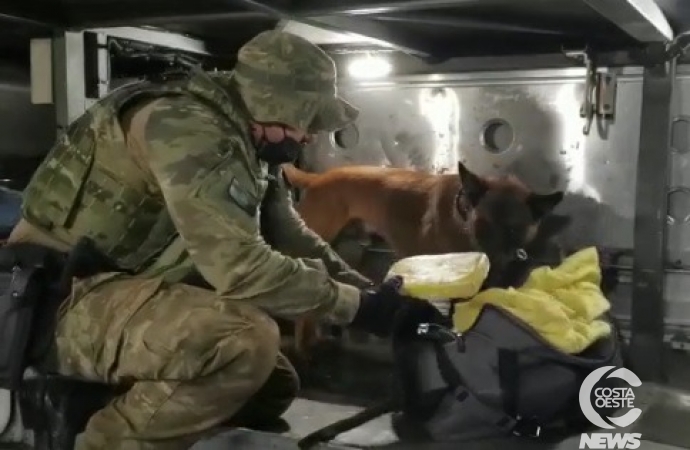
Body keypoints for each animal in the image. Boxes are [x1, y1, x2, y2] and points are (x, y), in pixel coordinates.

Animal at [282, 162, 568, 356]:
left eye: (513, 229)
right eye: (483, 226)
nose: (493, 265)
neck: (463, 214)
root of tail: (318, 178)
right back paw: (304, 349)